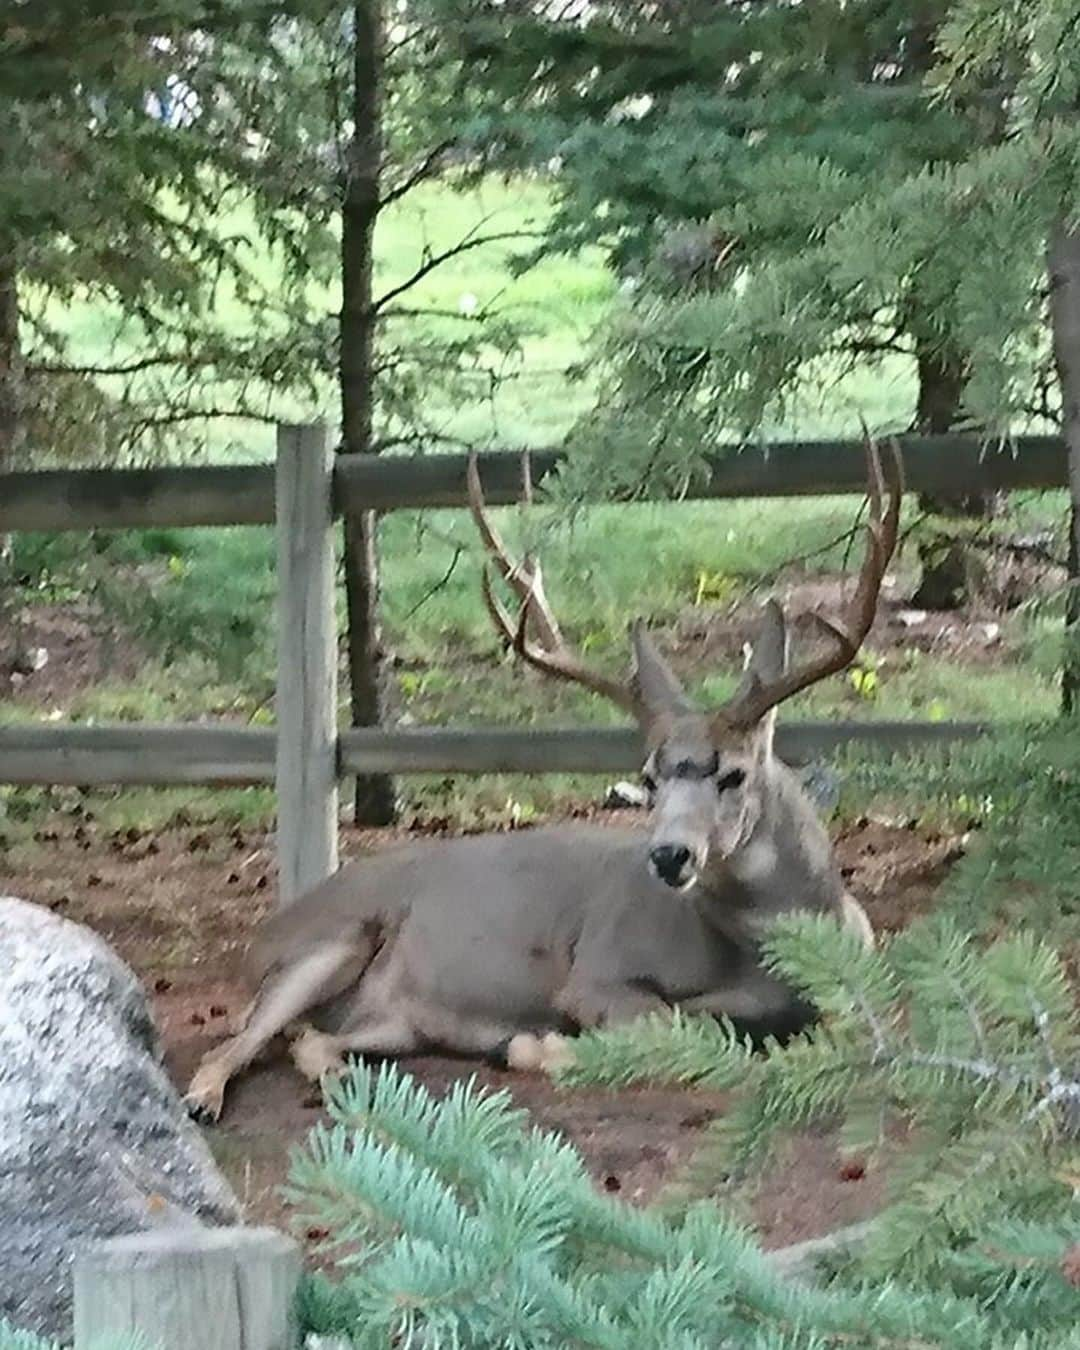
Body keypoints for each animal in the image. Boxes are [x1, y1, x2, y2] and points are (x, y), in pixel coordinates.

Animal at [186, 440, 901, 1117]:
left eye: (733, 774)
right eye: (649, 775)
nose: (669, 855)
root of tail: (263, 935)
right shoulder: (597, 972)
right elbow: (683, 1026)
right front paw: (543, 1045)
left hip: (396, 1021)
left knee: (314, 1040)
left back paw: (354, 1083)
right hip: (326, 943)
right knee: (242, 1039)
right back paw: (207, 1098)